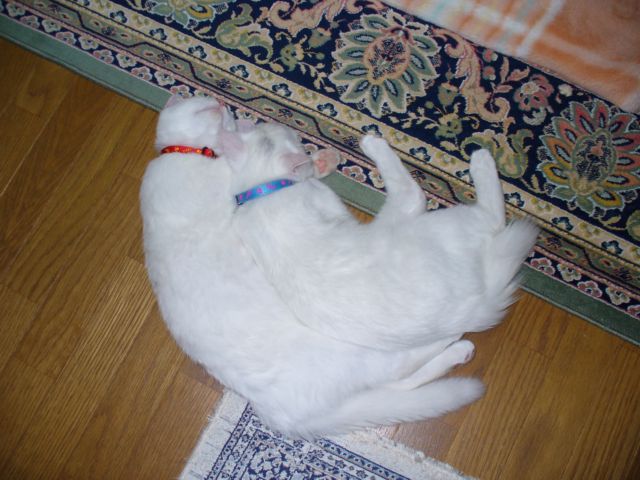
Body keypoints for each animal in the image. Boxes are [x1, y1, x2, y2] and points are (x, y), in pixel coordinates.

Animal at [140, 95, 534, 438]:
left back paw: (458, 350)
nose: (227, 107)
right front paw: (368, 144)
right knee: (485, 217)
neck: (263, 191)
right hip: (441, 228)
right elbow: (404, 187)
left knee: (398, 382)